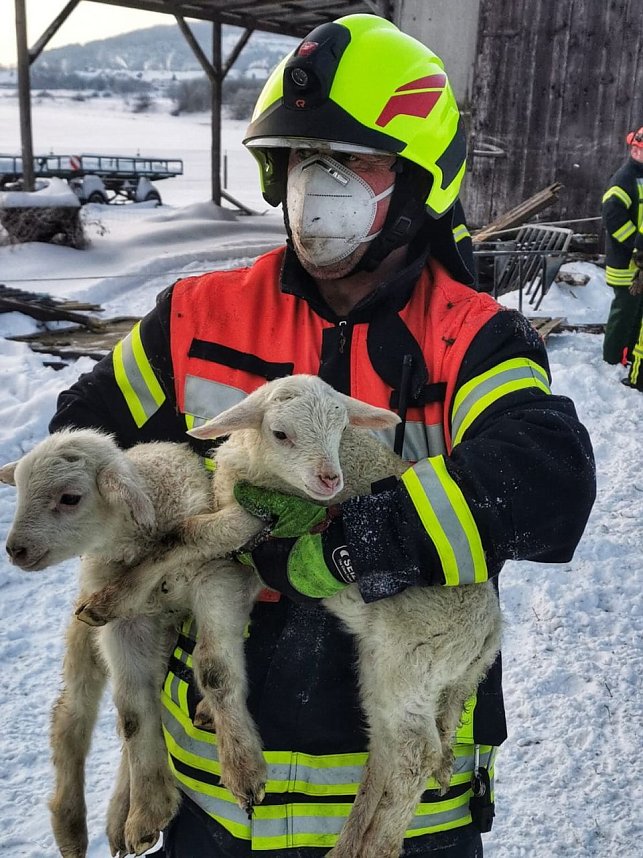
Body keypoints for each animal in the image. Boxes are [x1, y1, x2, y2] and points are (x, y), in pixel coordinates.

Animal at [0, 430, 222, 858]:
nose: (15, 550)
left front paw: (142, 813)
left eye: (70, 498)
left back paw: (118, 815)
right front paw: (148, 808)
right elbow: (133, 717)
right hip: (84, 641)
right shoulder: (120, 627)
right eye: (18, 489)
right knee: (71, 719)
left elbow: (136, 717)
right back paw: (72, 825)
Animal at [76, 374, 503, 858]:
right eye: (281, 434)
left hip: (411, 660)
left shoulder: (251, 519)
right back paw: (350, 844)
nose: (330, 480)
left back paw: (376, 845)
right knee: (388, 753)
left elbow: (184, 536)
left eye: (340, 427)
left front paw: (110, 599)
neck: (261, 472)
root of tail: (489, 636)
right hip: (393, 668)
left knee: (413, 758)